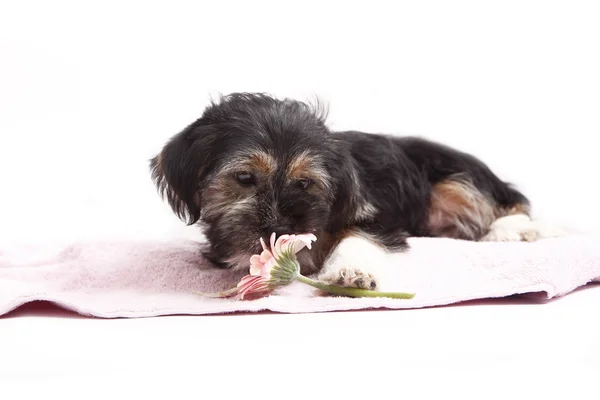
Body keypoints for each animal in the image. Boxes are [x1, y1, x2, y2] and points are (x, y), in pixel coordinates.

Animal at [150, 92, 564, 290]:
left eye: (304, 183)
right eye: (244, 178)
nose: (279, 227)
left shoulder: (376, 217)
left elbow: (359, 237)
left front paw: (351, 273)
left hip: (458, 181)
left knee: (508, 203)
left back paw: (512, 230)